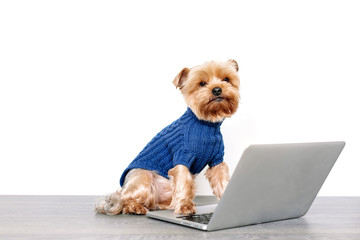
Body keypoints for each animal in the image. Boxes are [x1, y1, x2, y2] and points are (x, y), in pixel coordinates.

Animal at [95, 59, 239, 216]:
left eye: (226, 79)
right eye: (202, 83)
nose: (217, 90)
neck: (206, 124)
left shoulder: (217, 160)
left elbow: (222, 181)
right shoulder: (182, 155)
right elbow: (183, 181)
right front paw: (184, 207)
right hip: (142, 177)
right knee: (126, 199)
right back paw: (135, 207)